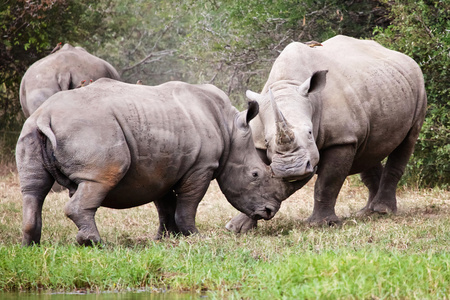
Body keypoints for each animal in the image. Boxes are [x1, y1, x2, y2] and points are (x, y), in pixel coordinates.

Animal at [18, 78, 306, 246]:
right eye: (255, 175)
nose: (268, 212)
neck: (230, 130)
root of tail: (45, 115)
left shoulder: (163, 166)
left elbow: (164, 203)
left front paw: (166, 237)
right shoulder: (201, 166)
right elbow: (189, 204)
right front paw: (194, 236)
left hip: (30, 129)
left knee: (33, 189)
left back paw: (31, 246)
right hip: (91, 129)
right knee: (99, 179)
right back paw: (94, 243)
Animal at [227, 34, 428, 232]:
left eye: (310, 133)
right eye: (268, 141)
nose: (291, 169)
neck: (286, 84)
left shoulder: (341, 139)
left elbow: (327, 183)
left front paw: (321, 224)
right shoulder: (257, 142)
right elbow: (251, 180)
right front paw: (237, 228)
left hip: (418, 84)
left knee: (407, 141)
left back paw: (382, 211)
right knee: (368, 149)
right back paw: (366, 212)